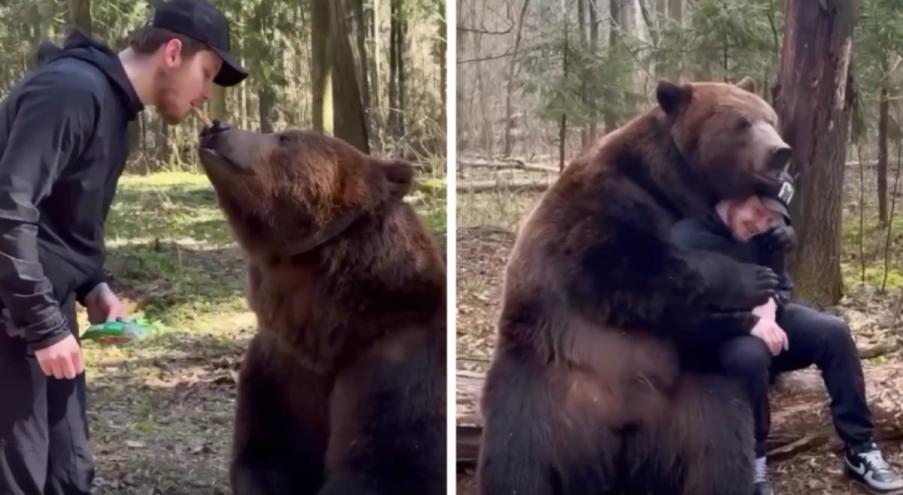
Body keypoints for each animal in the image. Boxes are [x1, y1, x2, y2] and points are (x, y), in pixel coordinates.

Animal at [200, 125, 448, 495]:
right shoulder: (281, 366)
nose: (215, 127)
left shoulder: (398, 364)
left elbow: (385, 468)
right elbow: (267, 453)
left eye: (286, 138)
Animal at [480, 78, 792, 495]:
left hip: (698, 399)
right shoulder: (603, 200)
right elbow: (629, 266)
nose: (781, 152)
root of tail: (620, 429)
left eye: (770, 118)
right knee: (516, 462)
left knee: (720, 455)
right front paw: (751, 280)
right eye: (742, 123)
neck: (676, 187)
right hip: (534, 387)